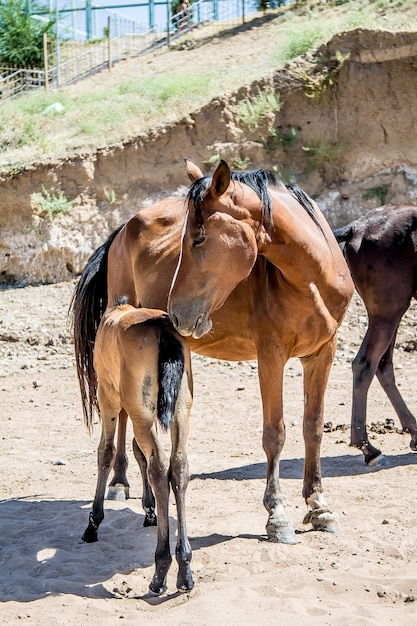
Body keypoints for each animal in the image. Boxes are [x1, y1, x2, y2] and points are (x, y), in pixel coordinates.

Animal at [70, 158, 352, 544]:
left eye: (199, 238)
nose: (176, 313)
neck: (313, 279)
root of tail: (123, 229)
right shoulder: (271, 355)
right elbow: (275, 433)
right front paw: (277, 515)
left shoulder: (323, 353)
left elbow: (313, 428)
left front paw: (319, 506)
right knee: (124, 419)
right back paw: (119, 483)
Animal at [81, 302, 193, 596]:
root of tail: (163, 332)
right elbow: (138, 452)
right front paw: (149, 511)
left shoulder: (108, 396)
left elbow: (106, 452)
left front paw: (93, 523)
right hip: (179, 411)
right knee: (178, 467)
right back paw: (185, 567)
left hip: (138, 412)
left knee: (159, 468)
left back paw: (161, 570)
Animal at [334, 204, 417, 464]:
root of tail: (358, 228)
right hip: (388, 314)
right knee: (365, 364)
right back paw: (368, 448)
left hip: (389, 315)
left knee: (382, 365)